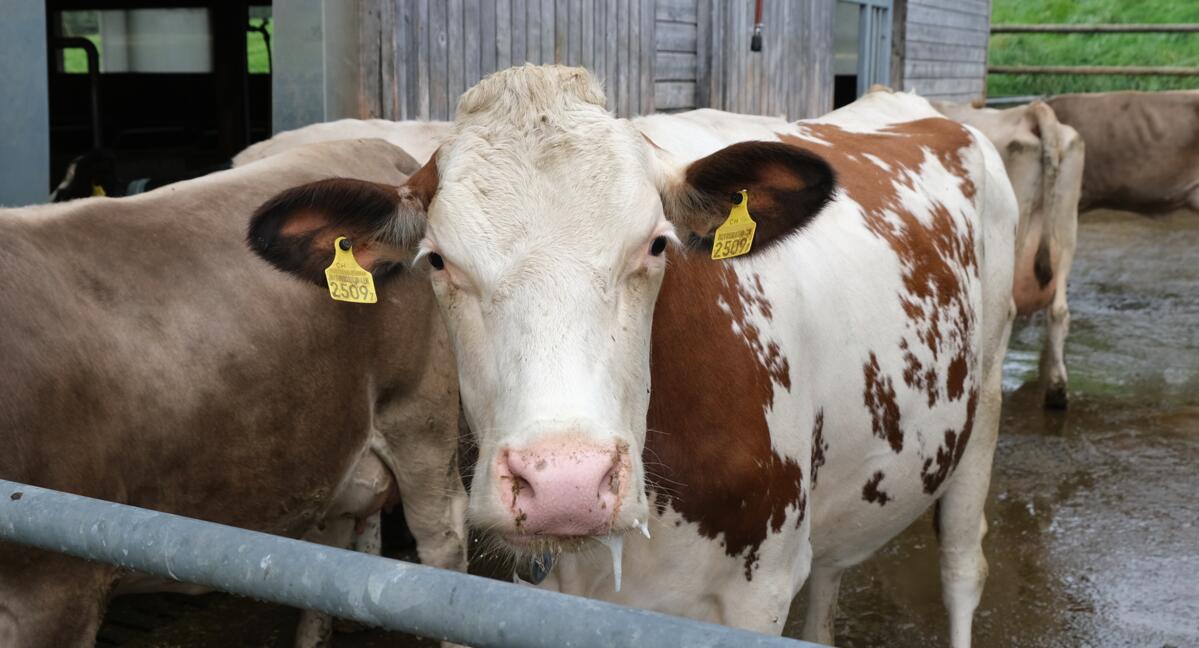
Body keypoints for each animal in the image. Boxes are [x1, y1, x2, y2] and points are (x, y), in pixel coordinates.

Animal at [251, 66, 1016, 648]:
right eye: (437, 260)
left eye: (655, 244)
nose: (565, 483)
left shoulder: (760, 591)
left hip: (982, 403)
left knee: (963, 567)